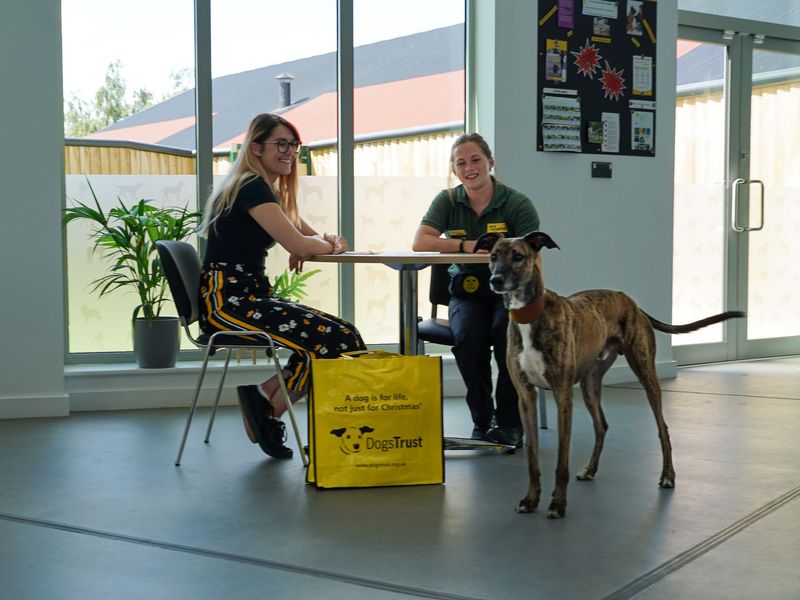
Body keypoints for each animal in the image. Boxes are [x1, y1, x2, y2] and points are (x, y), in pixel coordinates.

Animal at [476, 232, 744, 516]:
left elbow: (561, 461)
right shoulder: (526, 397)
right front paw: (530, 499)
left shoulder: (562, 396)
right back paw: (590, 469)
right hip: (590, 383)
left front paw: (558, 504)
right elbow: (532, 458)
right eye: (493, 256)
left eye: (518, 256)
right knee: (602, 425)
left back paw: (668, 476)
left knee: (663, 428)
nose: (495, 280)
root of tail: (632, 303)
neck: (530, 316)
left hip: (646, 372)